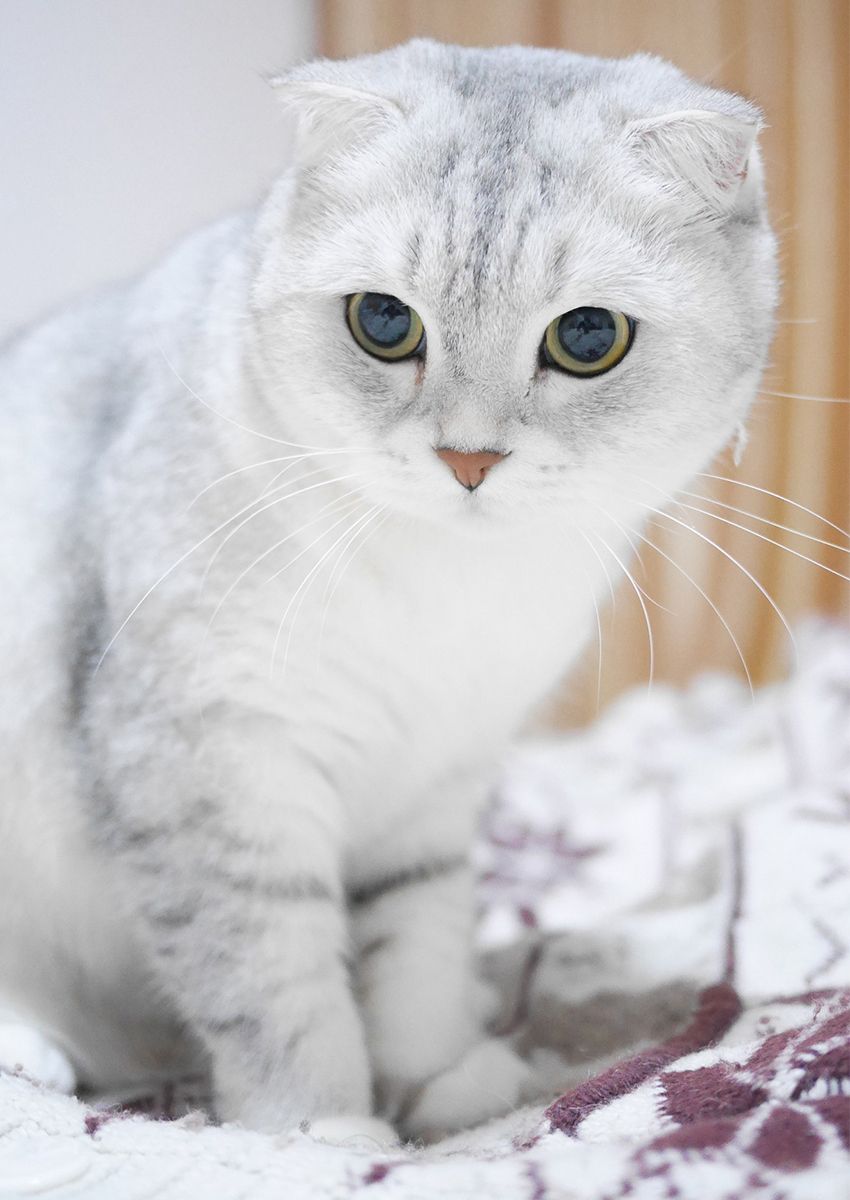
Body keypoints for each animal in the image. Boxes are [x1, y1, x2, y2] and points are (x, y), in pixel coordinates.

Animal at [0, 39, 777, 1142]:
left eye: (588, 337)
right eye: (381, 322)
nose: (468, 459)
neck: (444, 582)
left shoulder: (437, 779)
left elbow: (415, 943)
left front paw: (433, 1077)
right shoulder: (214, 767)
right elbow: (276, 978)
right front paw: (318, 1129)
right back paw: (34, 1049)